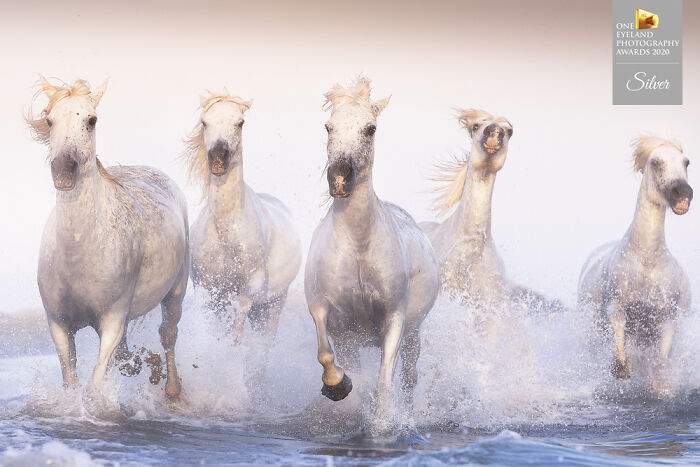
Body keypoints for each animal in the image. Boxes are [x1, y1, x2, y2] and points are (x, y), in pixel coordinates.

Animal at [28, 78, 189, 400]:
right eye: (50, 120)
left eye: (92, 120)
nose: (63, 170)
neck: (80, 250)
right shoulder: (59, 325)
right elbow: (71, 380)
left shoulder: (112, 322)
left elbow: (95, 385)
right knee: (130, 354)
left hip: (175, 293)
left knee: (168, 335)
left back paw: (172, 389)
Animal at [183, 91, 300, 360]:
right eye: (204, 122)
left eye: (240, 123)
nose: (218, 159)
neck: (227, 234)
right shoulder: (208, 291)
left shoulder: (247, 294)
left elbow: (235, 338)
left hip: (272, 305)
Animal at [304, 77, 438, 414]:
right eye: (328, 126)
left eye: (370, 128)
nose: (340, 178)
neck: (358, 248)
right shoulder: (326, 311)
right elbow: (325, 353)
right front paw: (338, 386)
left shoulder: (395, 319)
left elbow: (384, 386)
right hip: (353, 340)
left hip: (414, 333)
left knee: (409, 377)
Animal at [580, 135, 688, 394]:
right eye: (656, 162)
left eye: (686, 162)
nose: (683, 193)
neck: (647, 260)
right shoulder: (617, 307)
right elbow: (619, 347)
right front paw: (620, 370)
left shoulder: (667, 318)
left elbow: (660, 361)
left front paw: (659, 387)